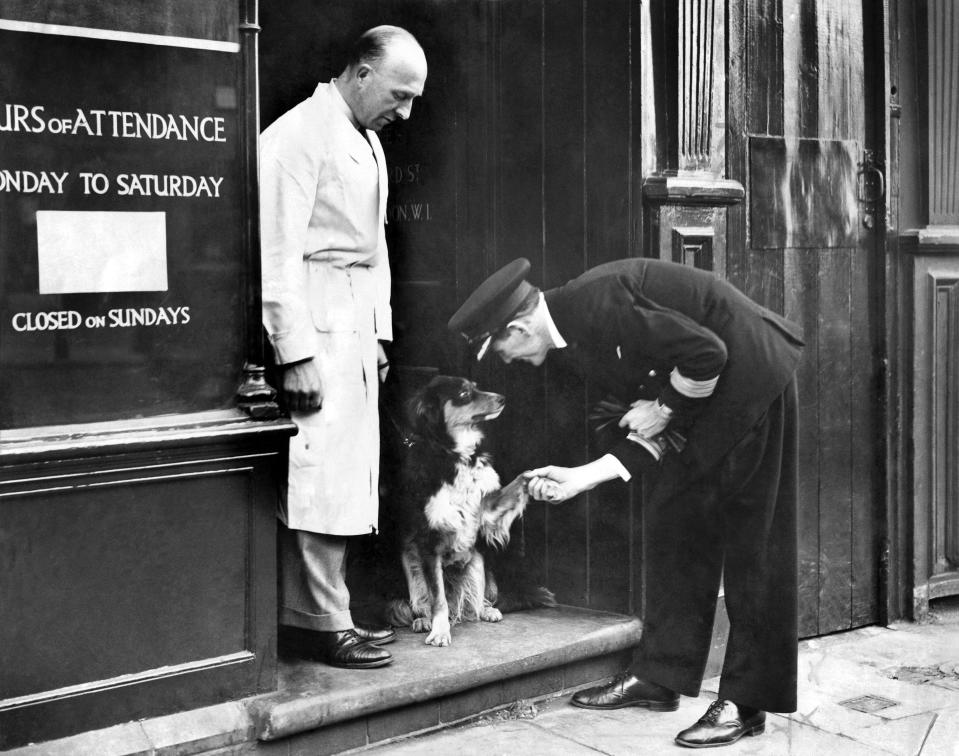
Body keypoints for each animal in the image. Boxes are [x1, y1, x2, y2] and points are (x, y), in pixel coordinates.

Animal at [388, 376, 560, 648]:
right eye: (463, 394)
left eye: (476, 386)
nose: (502, 398)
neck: (457, 456)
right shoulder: (429, 543)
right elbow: (438, 599)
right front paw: (439, 631)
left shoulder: (487, 509)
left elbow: (523, 477)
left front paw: (547, 483)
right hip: (409, 563)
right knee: (423, 602)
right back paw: (423, 620)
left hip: (479, 563)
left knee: (475, 605)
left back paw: (487, 609)